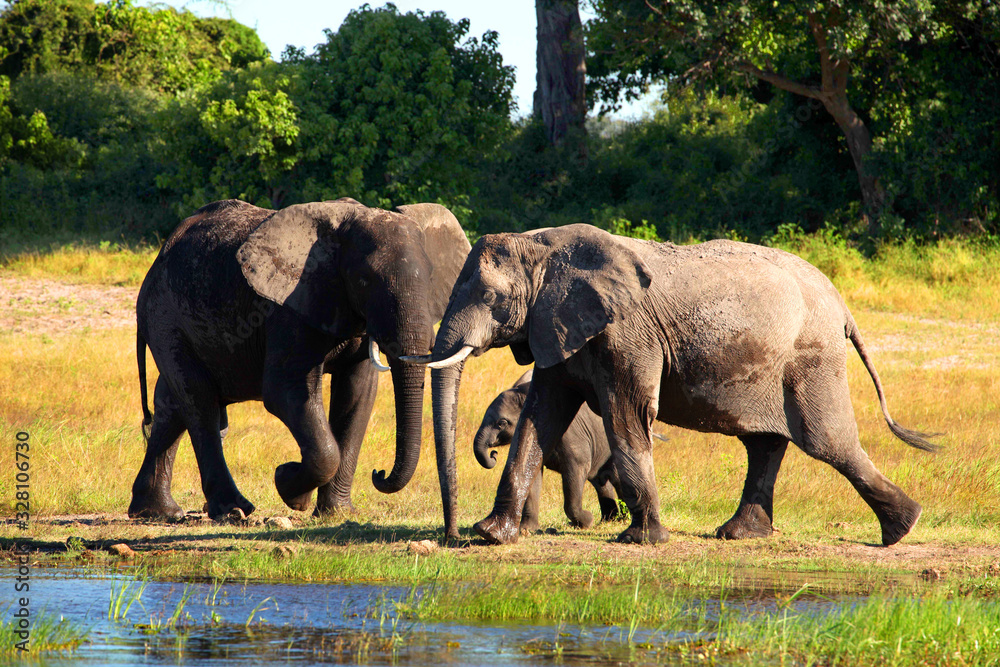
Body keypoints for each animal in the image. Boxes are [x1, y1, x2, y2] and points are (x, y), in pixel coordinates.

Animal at [131, 198, 470, 520]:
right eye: (364, 279)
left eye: (431, 276)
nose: (379, 473)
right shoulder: (287, 309)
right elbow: (286, 391)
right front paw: (288, 484)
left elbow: (357, 394)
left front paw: (336, 513)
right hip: (165, 317)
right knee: (199, 400)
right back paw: (233, 510)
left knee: (172, 403)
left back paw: (156, 511)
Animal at [472, 370, 620, 532]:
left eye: (501, 423)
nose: (494, 454)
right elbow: (533, 477)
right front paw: (526, 531)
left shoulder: (572, 435)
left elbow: (576, 469)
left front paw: (587, 521)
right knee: (601, 481)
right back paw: (609, 521)